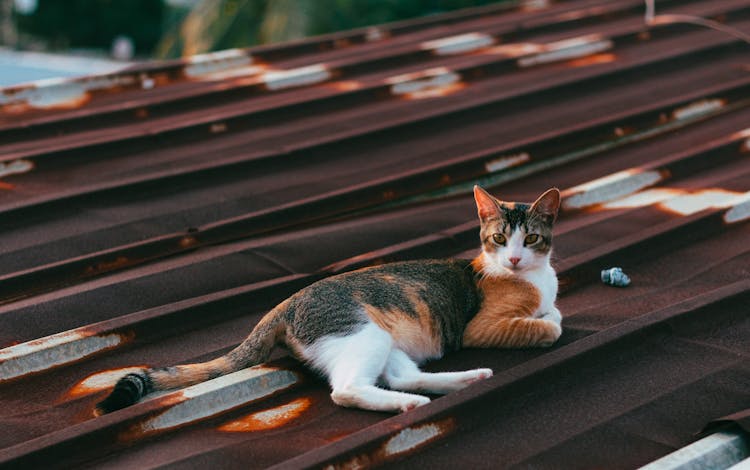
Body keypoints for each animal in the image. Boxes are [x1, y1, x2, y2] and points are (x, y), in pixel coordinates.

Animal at [95, 187, 564, 414]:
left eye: (531, 238)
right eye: (499, 238)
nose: (515, 258)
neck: (534, 278)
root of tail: (284, 304)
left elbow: (554, 309)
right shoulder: (479, 326)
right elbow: (550, 324)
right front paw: (547, 322)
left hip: (387, 341)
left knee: (401, 377)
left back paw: (464, 381)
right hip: (360, 333)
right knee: (347, 390)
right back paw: (411, 404)